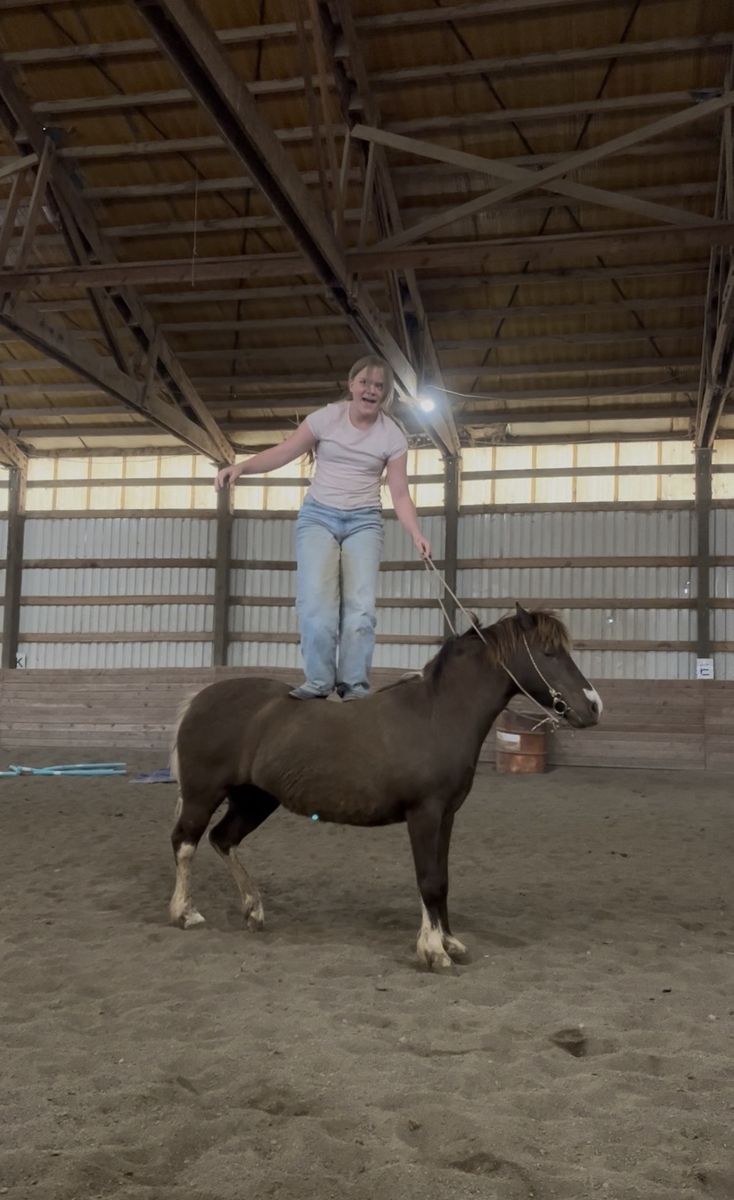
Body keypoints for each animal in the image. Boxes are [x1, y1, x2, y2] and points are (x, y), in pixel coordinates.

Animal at [169, 604, 602, 969]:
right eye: (548, 652)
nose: (594, 706)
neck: (436, 715)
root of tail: (198, 700)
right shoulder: (423, 814)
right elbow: (428, 880)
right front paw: (433, 950)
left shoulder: (446, 816)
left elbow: (443, 879)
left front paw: (450, 942)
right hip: (203, 795)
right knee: (186, 843)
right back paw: (185, 913)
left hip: (255, 800)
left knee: (223, 839)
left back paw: (254, 910)